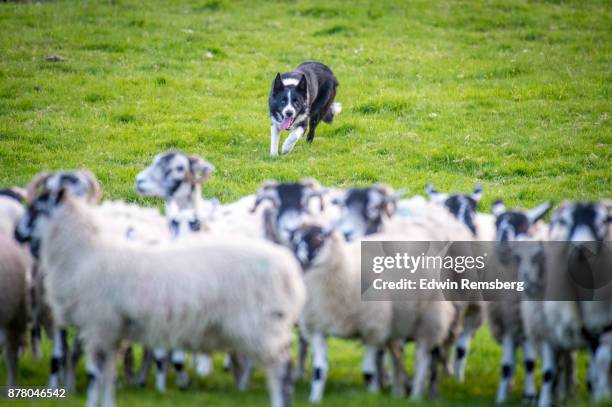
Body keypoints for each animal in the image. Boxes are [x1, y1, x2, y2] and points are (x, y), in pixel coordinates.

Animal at [290, 223, 456, 402]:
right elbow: (319, 370)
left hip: (429, 317)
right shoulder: (317, 328)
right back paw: (397, 393)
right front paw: (314, 399)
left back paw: (416, 396)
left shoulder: (373, 328)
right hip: (397, 324)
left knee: (423, 357)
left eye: (319, 238)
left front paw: (372, 395)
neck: (345, 270)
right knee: (396, 357)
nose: (299, 261)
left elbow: (368, 371)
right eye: (293, 240)